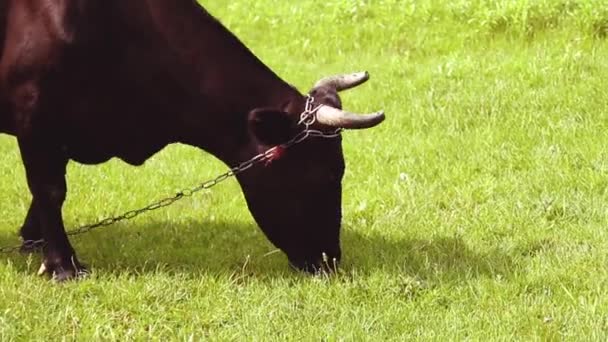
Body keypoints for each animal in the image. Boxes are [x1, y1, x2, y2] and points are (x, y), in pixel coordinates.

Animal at [0, 0, 384, 280]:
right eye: (327, 173)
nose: (331, 259)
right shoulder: (36, 118)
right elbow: (51, 190)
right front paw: (62, 265)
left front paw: (33, 238)